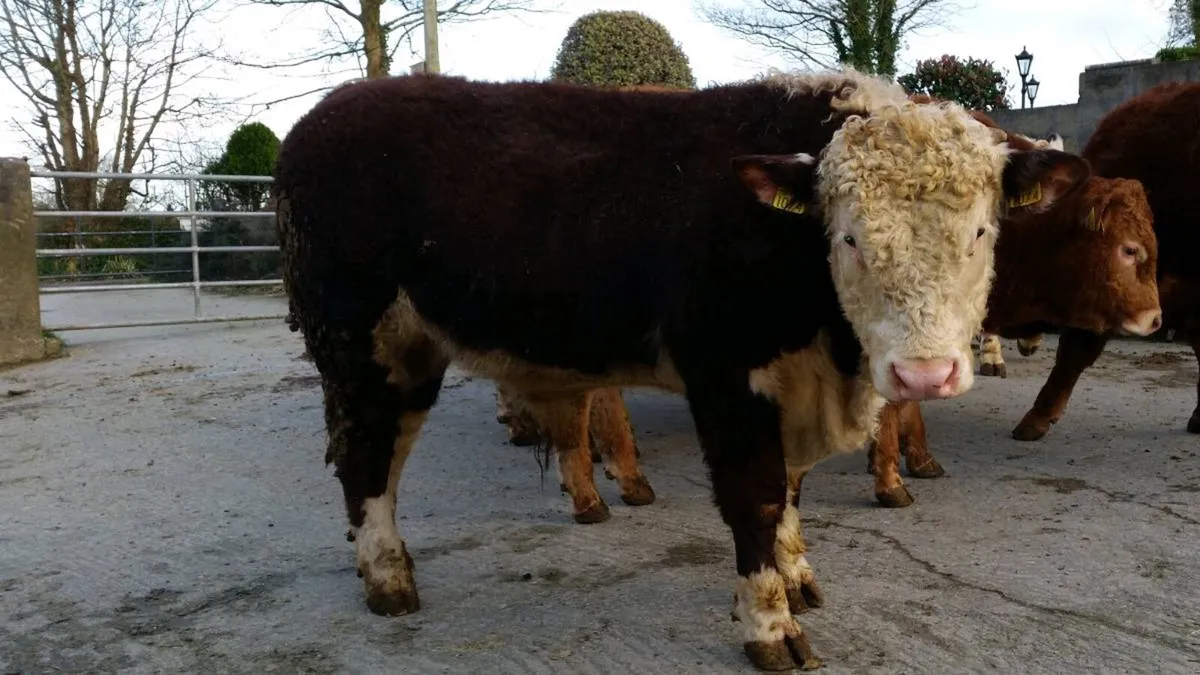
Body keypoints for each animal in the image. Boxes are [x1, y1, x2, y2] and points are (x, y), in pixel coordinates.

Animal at [274, 68, 1087, 671]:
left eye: (980, 231)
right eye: (849, 237)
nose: (924, 375)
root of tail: (331, 110)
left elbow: (791, 491)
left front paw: (797, 575)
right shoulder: (727, 378)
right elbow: (756, 497)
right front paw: (769, 624)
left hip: (404, 353)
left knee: (384, 455)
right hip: (361, 343)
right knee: (366, 455)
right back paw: (387, 577)